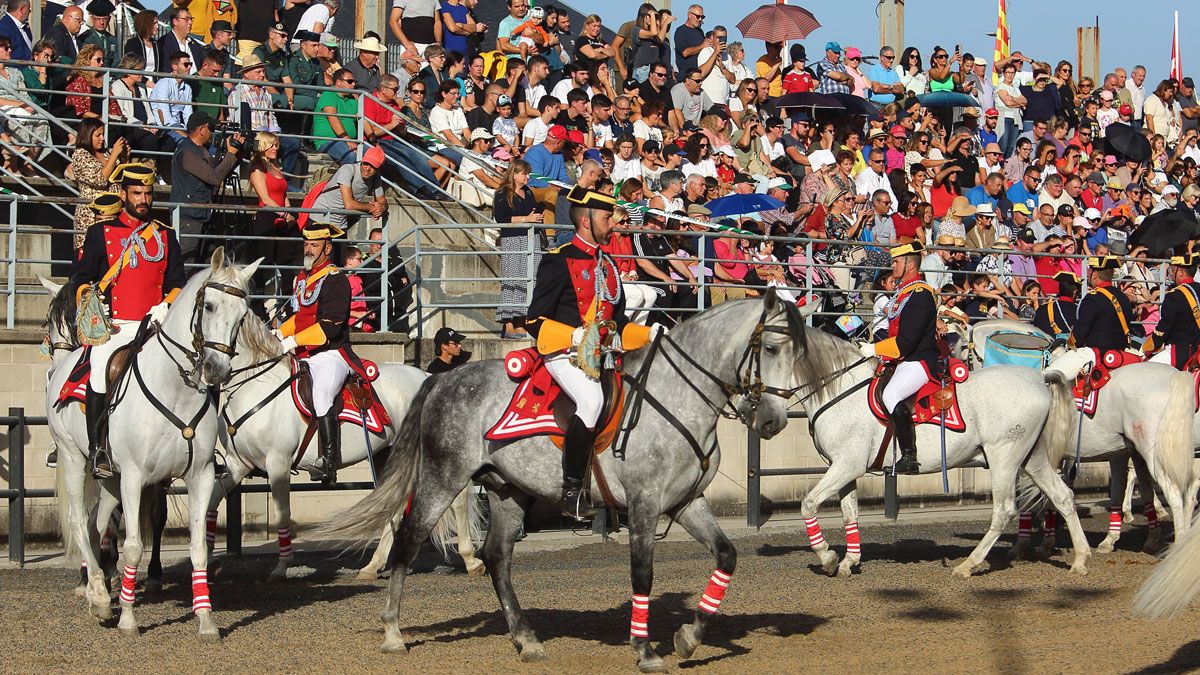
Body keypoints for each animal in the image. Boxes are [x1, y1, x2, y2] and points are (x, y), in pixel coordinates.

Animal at [210, 314, 482, 578]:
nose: (208, 372)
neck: (256, 386)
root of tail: (427, 377)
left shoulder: (278, 462)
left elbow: (282, 513)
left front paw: (282, 566)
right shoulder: (237, 464)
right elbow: (211, 501)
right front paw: (209, 560)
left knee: (456, 498)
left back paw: (470, 560)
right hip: (388, 454)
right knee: (395, 502)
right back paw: (373, 566)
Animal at [324, 291, 816, 667]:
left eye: (799, 353)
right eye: (772, 350)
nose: (772, 421)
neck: (677, 395)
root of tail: (441, 379)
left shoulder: (686, 503)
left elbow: (727, 555)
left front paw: (689, 637)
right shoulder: (644, 504)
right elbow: (642, 574)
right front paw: (645, 650)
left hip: (506, 489)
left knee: (497, 558)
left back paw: (526, 639)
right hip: (443, 478)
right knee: (409, 541)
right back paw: (393, 633)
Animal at [787, 329, 1089, 576]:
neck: (838, 388)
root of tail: (1039, 377)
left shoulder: (847, 465)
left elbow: (808, 503)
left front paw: (826, 557)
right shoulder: (845, 467)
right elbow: (850, 513)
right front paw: (849, 561)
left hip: (1004, 458)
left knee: (1004, 510)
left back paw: (968, 565)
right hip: (1032, 458)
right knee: (1062, 497)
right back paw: (1080, 559)